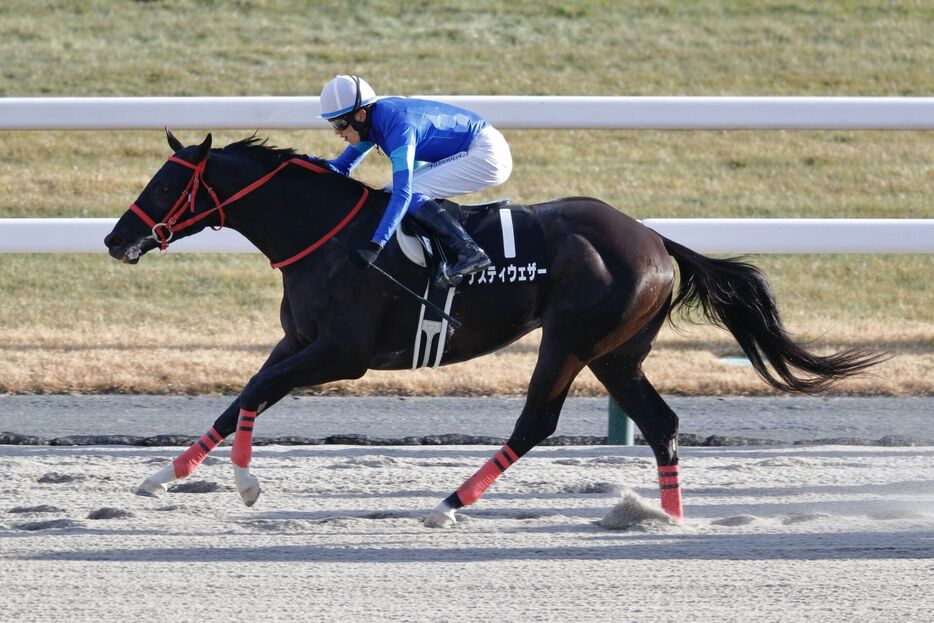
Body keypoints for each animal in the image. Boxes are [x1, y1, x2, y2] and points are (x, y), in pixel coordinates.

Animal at [106, 134, 888, 528]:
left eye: (165, 183)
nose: (116, 239)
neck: (323, 235)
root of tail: (657, 240)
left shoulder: (341, 353)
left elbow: (255, 392)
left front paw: (238, 482)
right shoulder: (299, 341)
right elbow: (246, 392)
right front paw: (167, 476)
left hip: (570, 338)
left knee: (538, 420)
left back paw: (449, 504)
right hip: (616, 352)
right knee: (661, 422)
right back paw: (665, 519)